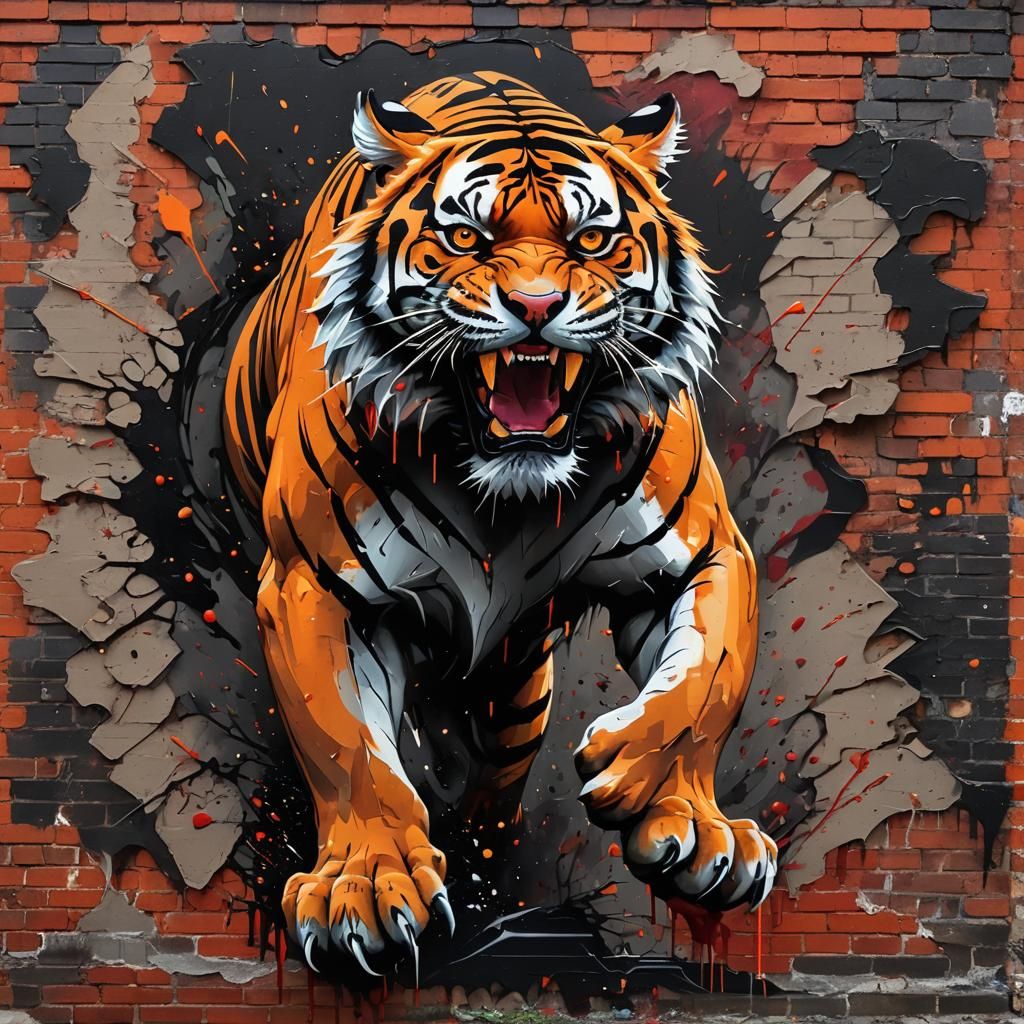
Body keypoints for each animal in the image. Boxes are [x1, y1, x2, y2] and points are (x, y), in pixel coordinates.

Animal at [223, 70, 776, 976]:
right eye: (465, 238)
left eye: (592, 240)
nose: (536, 307)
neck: (503, 495)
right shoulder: (316, 584)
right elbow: (346, 744)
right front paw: (366, 886)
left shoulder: (702, 555)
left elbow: (708, 683)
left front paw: (684, 820)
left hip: (513, 708)